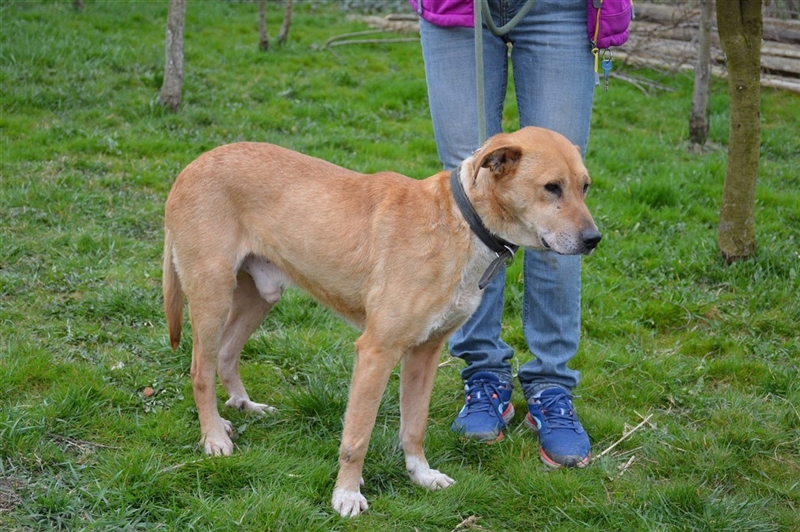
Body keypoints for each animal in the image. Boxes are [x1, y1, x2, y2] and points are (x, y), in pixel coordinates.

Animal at [162, 126, 601, 517]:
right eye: (551, 187)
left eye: (585, 187)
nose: (594, 240)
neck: (461, 223)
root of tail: (193, 164)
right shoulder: (376, 351)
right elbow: (357, 437)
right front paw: (346, 495)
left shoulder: (425, 354)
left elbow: (414, 426)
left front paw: (421, 475)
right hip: (212, 296)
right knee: (200, 370)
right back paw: (213, 436)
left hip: (260, 295)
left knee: (226, 353)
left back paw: (242, 405)